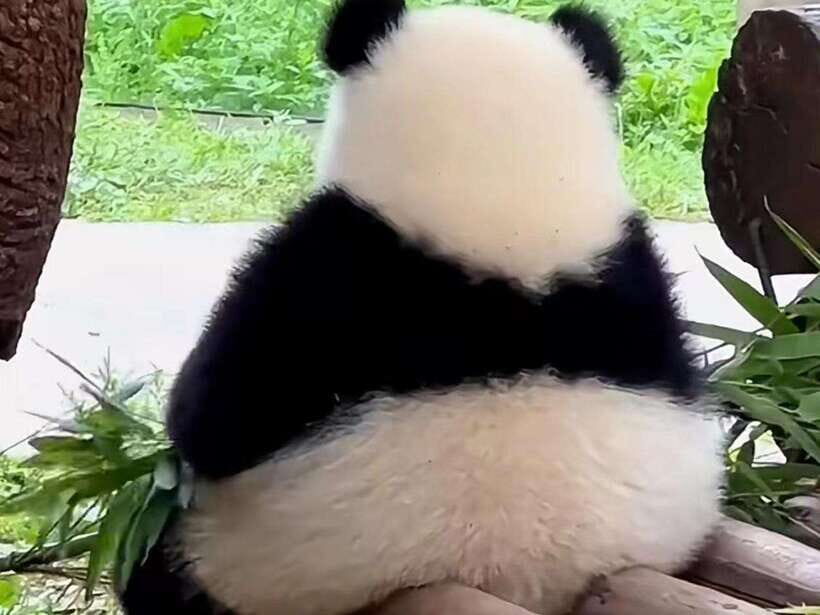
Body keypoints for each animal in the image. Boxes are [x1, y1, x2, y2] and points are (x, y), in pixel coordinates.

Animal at [122, 1, 724, 614]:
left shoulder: (323, 277)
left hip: (242, 564)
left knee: (154, 566)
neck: (500, 178)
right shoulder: (637, 283)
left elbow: (211, 415)